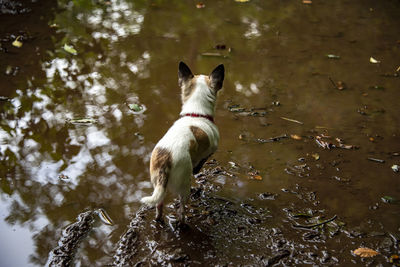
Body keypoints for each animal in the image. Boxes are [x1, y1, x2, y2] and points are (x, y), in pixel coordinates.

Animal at [141, 61, 223, 223]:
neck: (196, 113)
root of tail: (165, 159)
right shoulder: (210, 151)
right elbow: (202, 159)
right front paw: (197, 168)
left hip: (157, 185)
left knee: (159, 205)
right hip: (183, 186)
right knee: (181, 209)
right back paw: (183, 221)